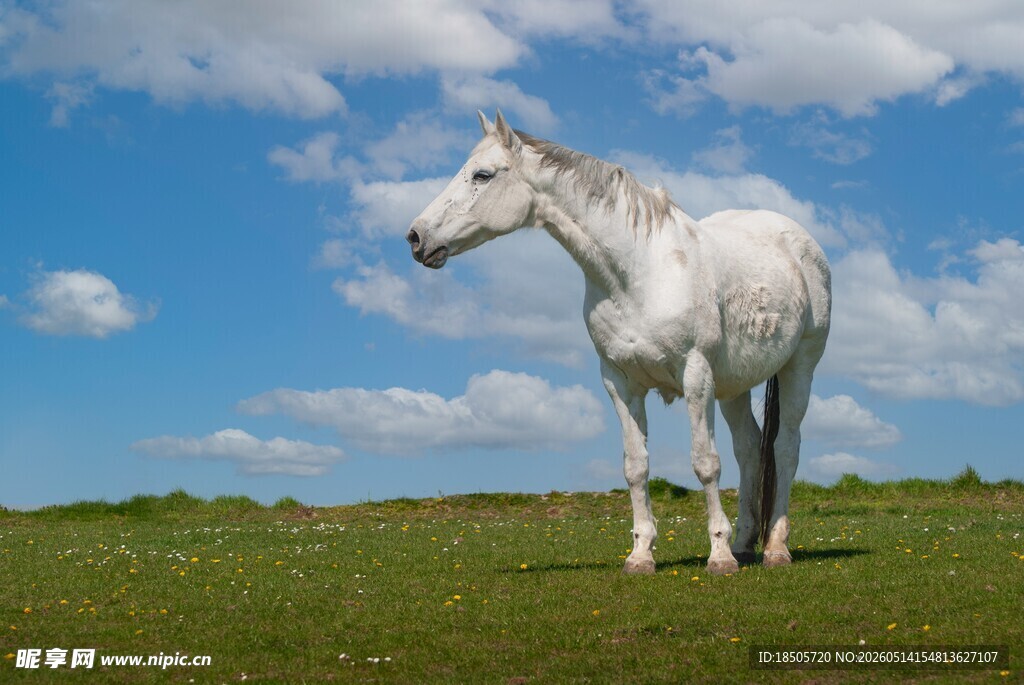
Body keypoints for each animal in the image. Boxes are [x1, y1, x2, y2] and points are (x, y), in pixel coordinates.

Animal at [406, 110, 831, 576]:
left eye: (482, 175)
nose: (416, 237)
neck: (638, 273)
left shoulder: (696, 376)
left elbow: (705, 463)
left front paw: (717, 557)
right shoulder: (620, 382)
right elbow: (636, 467)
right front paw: (641, 554)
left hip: (799, 369)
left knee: (784, 448)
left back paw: (775, 548)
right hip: (733, 387)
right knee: (751, 451)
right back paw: (744, 544)